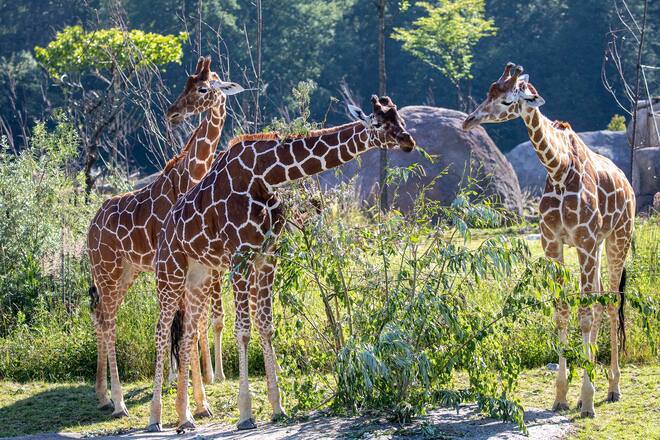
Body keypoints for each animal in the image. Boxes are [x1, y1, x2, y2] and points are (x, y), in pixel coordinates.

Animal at [86, 56, 243, 418]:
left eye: (203, 88)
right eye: (186, 85)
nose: (172, 113)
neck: (192, 174)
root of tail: (90, 228)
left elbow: (193, 326)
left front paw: (199, 399)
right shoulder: (181, 263)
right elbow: (187, 327)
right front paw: (194, 401)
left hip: (124, 273)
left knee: (102, 318)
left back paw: (102, 396)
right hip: (107, 271)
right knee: (107, 321)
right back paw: (118, 402)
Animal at [146, 96, 416, 432]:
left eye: (400, 119)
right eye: (378, 123)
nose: (408, 141)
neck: (265, 175)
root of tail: (164, 231)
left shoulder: (267, 255)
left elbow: (266, 326)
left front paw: (278, 408)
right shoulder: (240, 255)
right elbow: (243, 330)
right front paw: (246, 414)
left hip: (200, 277)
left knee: (186, 335)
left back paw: (186, 417)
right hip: (169, 273)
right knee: (161, 332)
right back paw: (155, 418)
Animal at [463, 63, 635, 417]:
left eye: (506, 101)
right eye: (490, 91)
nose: (468, 121)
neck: (558, 169)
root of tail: (627, 183)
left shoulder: (583, 240)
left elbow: (584, 314)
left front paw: (587, 400)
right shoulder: (553, 243)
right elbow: (562, 310)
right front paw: (562, 396)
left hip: (618, 238)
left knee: (611, 302)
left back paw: (613, 388)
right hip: (598, 245)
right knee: (599, 301)